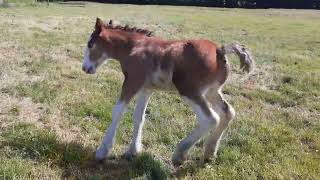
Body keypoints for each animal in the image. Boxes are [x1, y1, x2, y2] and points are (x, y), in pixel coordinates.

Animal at [82, 18, 255, 166]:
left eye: (90, 44)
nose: (85, 68)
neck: (134, 47)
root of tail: (220, 51)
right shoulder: (146, 88)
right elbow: (139, 116)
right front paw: (133, 151)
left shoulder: (132, 82)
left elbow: (117, 111)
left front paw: (102, 151)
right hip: (212, 91)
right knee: (228, 112)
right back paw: (209, 153)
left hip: (189, 90)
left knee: (211, 118)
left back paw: (179, 154)